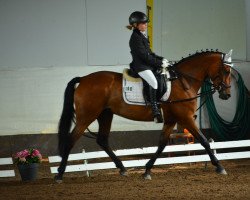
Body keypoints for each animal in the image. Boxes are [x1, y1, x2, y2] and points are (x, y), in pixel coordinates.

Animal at [54, 49, 232, 181]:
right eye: (225, 70)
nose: (227, 95)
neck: (183, 81)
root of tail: (83, 78)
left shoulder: (171, 120)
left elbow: (161, 144)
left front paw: (147, 170)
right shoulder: (186, 118)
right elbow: (204, 141)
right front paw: (219, 166)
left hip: (105, 114)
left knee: (102, 140)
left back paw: (122, 168)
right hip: (87, 116)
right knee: (71, 140)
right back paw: (60, 174)